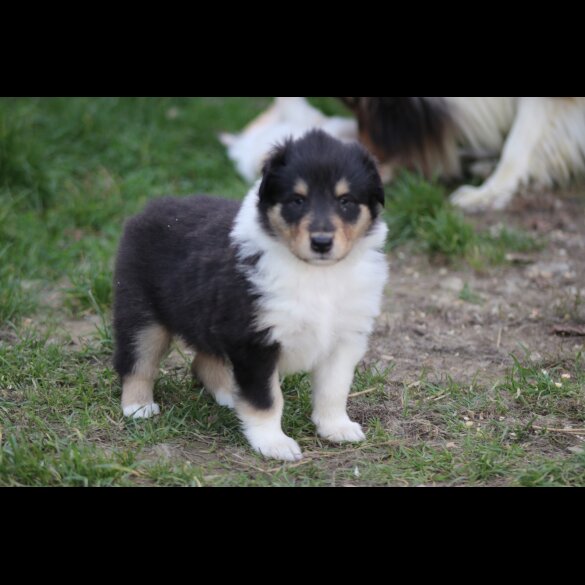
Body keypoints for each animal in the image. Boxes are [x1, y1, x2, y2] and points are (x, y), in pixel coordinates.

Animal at [113, 129, 388, 460]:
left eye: (346, 201)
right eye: (297, 200)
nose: (321, 242)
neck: (316, 274)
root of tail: (148, 209)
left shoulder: (345, 338)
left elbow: (334, 389)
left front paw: (336, 427)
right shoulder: (255, 341)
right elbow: (266, 398)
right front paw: (273, 444)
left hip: (209, 314)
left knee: (203, 360)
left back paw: (229, 395)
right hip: (140, 310)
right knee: (137, 360)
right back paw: (138, 406)